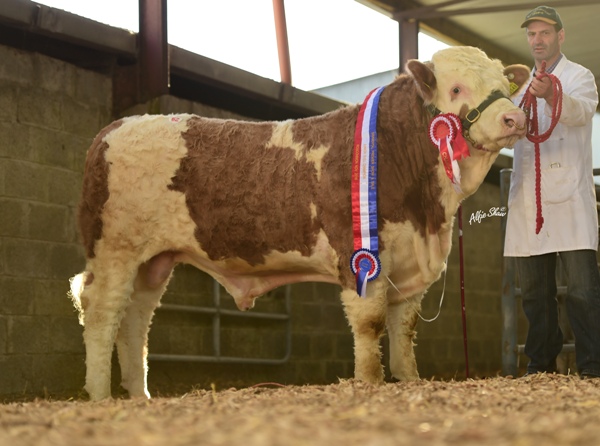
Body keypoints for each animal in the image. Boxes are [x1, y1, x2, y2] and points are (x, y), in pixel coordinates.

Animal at [70, 46, 528, 400]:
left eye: (506, 89)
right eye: (457, 88)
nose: (515, 119)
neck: (427, 212)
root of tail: (115, 127)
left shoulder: (409, 261)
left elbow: (404, 329)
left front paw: (409, 379)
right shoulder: (360, 254)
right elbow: (371, 323)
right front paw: (370, 382)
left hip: (154, 260)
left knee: (136, 317)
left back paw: (139, 396)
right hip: (115, 249)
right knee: (102, 310)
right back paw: (100, 395)